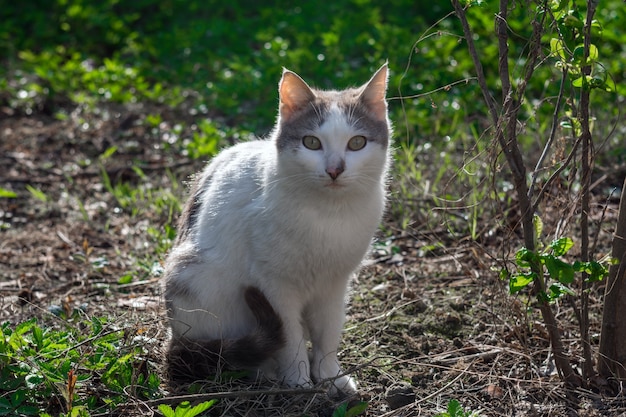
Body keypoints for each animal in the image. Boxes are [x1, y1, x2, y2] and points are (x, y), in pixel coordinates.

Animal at [163, 61, 392, 394]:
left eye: (357, 143)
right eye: (312, 142)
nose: (334, 170)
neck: (327, 215)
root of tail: (173, 339)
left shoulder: (335, 284)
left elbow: (328, 335)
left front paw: (330, 377)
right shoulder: (274, 286)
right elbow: (290, 338)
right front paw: (298, 379)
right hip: (190, 277)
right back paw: (264, 370)